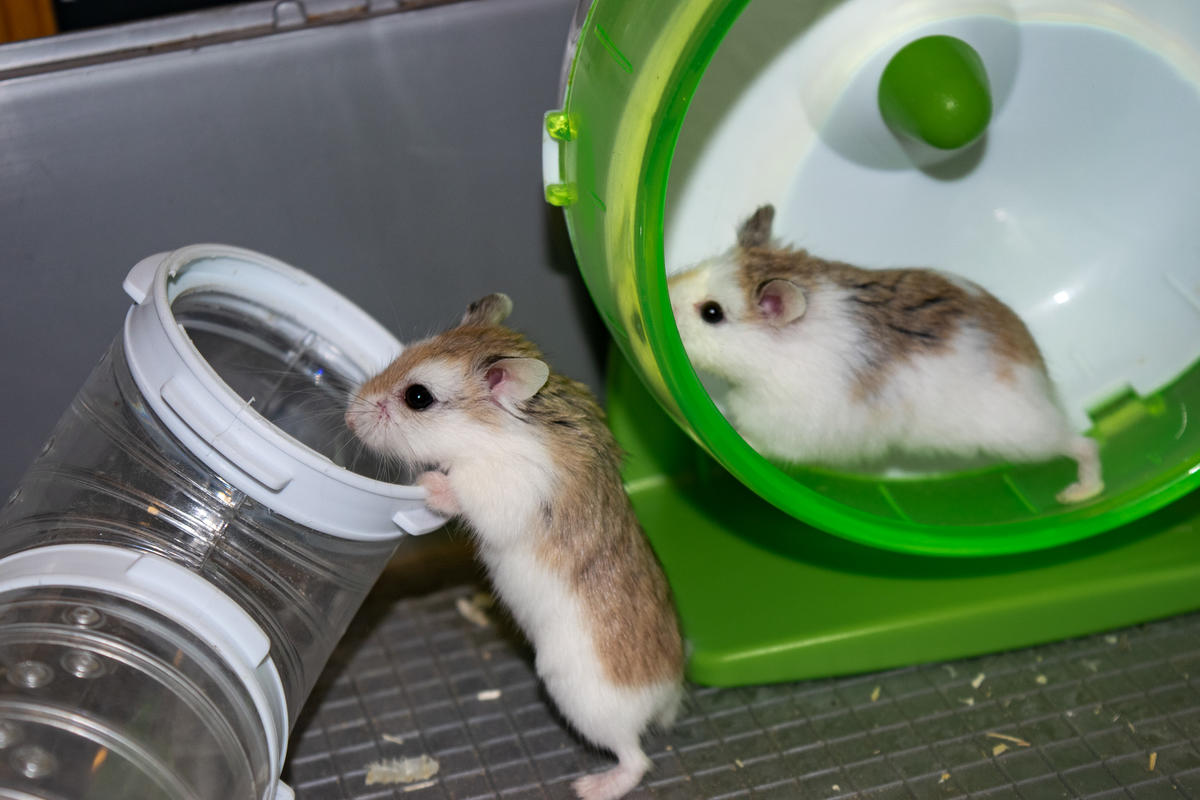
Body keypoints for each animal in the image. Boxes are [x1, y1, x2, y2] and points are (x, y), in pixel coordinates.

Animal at [348, 293, 686, 800]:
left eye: (418, 397)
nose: (349, 413)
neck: (490, 429)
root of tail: (668, 692)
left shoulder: (504, 489)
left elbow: (461, 491)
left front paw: (429, 482)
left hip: (583, 700)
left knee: (637, 759)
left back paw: (590, 786)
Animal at [672, 206, 1099, 506]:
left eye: (712, 313)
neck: (767, 357)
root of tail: (1040, 374)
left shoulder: (786, 426)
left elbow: (755, 441)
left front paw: (725, 441)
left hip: (1025, 435)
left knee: (1083, 444)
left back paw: (1078, 493)